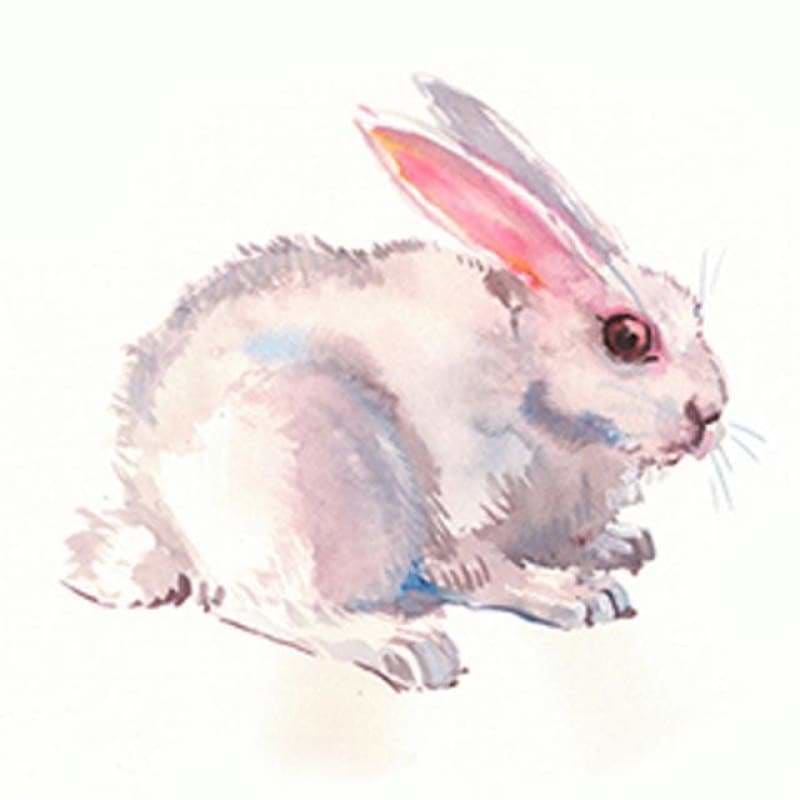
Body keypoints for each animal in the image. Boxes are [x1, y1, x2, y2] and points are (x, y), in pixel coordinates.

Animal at [64, 75, 728, 692]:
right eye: (627, 338)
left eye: (696, 313)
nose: (713, 412)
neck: (533, 383)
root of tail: (164, 521)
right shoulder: (462, 509)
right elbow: (485, 573)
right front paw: (576, 595)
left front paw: (621, 544)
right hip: (320, 476)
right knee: (264, 607)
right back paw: (404, 645)